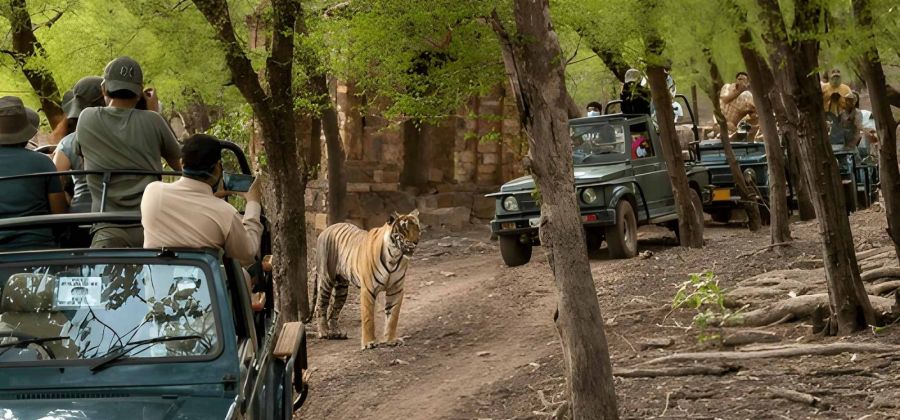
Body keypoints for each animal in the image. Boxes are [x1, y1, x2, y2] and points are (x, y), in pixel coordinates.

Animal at [312, 210, 421, 349]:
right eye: (405, 228)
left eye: (417, 227)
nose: (416, 242)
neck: (394, 256)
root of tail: (326, 230)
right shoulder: (368, 289)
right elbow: (368, 317)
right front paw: (369, 343)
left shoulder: (395, 289)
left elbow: (393, 316)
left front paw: (391, 340)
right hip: (326, 279)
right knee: (321, 305)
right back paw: (324, 332)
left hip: (341, 287)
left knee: (333, 309)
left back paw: (337, 333)